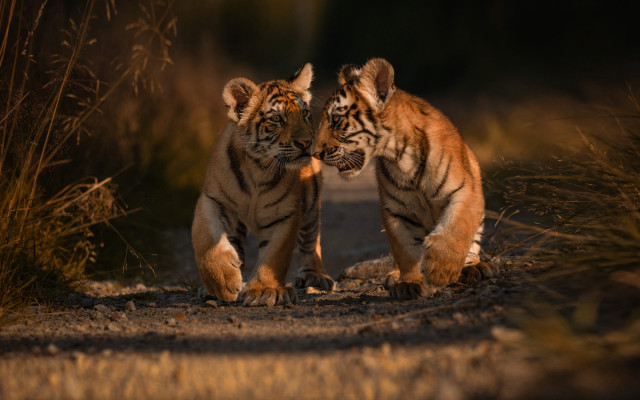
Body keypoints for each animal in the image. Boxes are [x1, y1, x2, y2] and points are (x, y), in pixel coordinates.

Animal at [191, 63, 334, 307]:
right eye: (276, 119)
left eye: (305, 114)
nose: (307, 143)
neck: (259, 167)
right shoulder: (214, 200)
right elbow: (205, 237)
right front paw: (222, 283)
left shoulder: (285, 214)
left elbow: (275, 255)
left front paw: (264, 290)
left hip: (311, 204)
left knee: (311, 239)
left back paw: (315, 276)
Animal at [314, 58, 497, 299]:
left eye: (335, 120)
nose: (314, 153)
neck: (400, 155)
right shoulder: (396, 211)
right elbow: (406, 250)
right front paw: (409, 282)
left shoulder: (464, 191)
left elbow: (455, 228)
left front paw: (440, 269)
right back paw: (394, 277)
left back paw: (475, 267)